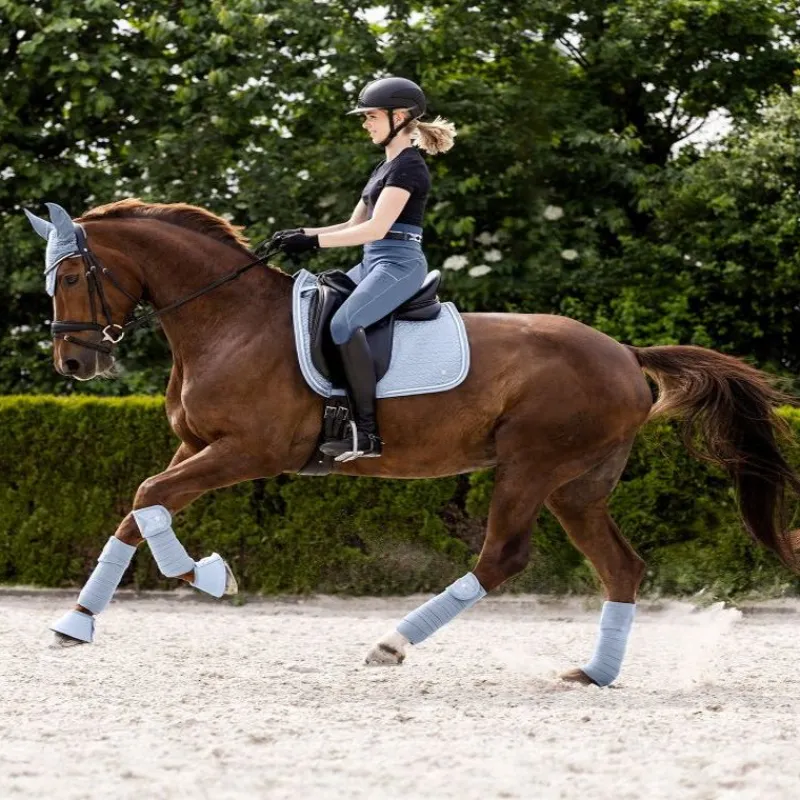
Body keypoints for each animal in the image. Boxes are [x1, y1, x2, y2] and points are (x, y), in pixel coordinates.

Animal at [24, 199, 800, 686]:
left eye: (73, 274)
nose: (73, 363)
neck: (227, 321)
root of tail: (624, 353)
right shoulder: (196, 448)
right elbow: (138, 509)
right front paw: (76, 621)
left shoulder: (248, 452)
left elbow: (150, 499)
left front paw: (211, 576)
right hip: (578, 485)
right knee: (622, 567)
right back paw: (594, 673)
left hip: (530, 466)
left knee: (502, 557)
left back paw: (391, 643)